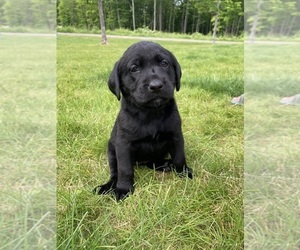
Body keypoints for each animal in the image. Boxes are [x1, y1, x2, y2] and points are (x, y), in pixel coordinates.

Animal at [94, 41, 192, 201]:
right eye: (134, 69)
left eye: (164, 63)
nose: (156, 86)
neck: (150, 113)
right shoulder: (123, 145)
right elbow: (125, 169)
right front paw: (123, 189)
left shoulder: (176, 136)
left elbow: (179, 157)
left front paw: (184, 173)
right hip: (111, 150)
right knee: (115, 172)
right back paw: (109, 186)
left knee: (152, 162)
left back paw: (165, 165)